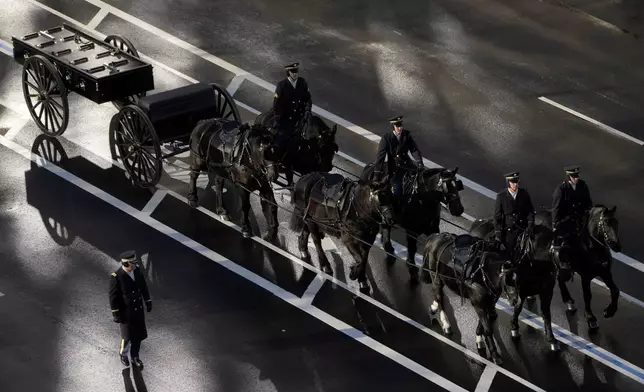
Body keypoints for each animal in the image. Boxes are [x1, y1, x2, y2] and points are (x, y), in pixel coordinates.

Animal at [422, 233, 512, 364]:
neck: (483, 273)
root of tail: (435, 237)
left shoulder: (489, 303)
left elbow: (482, 325)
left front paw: (479, 340)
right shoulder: (479, 304)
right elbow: (488, 328)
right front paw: (495, 355)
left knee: (438, 295)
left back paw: (434, 308)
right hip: (436, 276)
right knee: (439, 296)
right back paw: (446, 324)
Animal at [470, 217, 572, 352]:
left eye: (570, 253)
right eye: (558, 254)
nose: (567, 276)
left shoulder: (546, 291)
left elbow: (546, 313)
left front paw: (551, 338)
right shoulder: (521, 290)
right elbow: (518, 308)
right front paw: (514, 328)